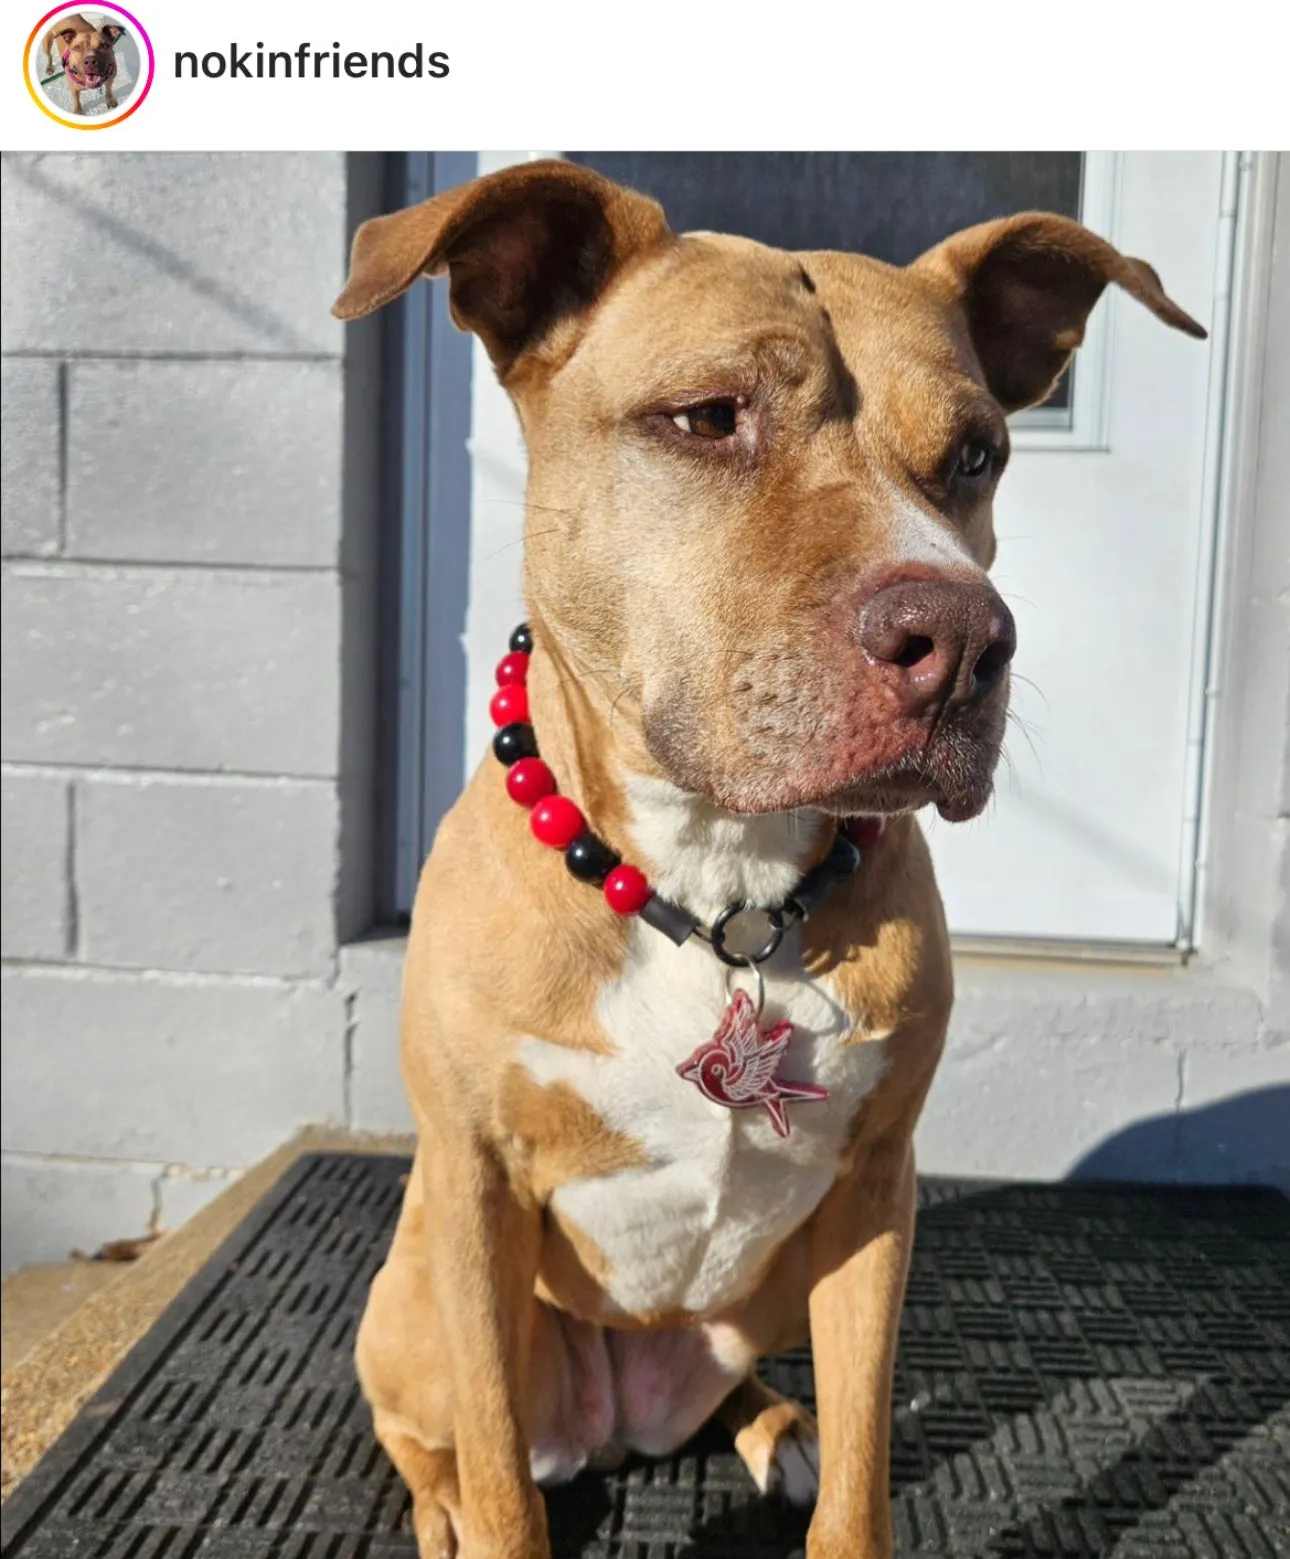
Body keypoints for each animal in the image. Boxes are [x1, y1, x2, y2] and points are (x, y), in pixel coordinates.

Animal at [330, 161, 1197, 1559]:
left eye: (977, 453)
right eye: (706, 418)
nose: (965, 638)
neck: (718, 881)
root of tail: (622, 1409)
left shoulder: (878, 1193)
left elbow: (862, 1471)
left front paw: (825, 1464)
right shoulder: (472, 1181)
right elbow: (510, 1482)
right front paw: (485, 1508)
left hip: (773, 1281)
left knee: (746, 1383)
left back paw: (773, 1423)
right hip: (414, 1301)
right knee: (440, 1425)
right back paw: (446, 1497)